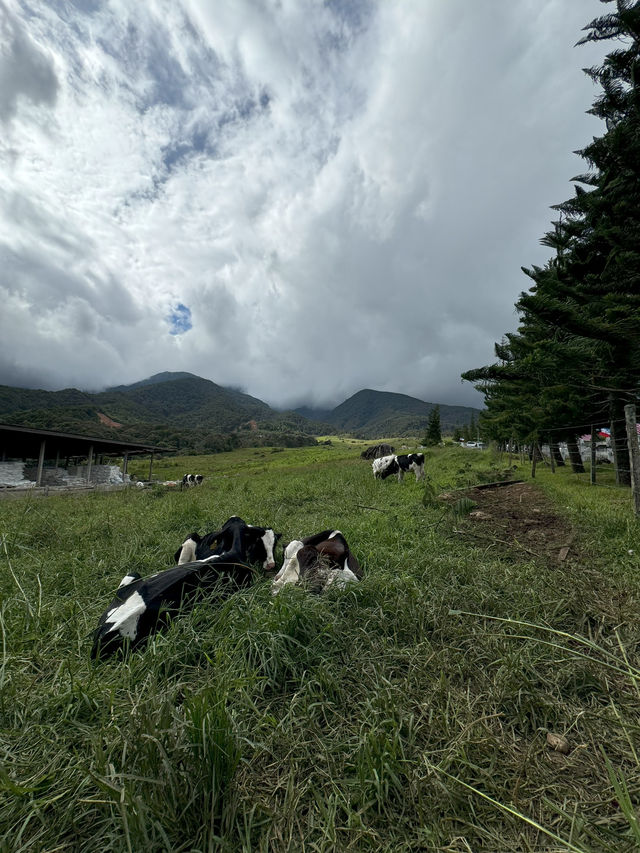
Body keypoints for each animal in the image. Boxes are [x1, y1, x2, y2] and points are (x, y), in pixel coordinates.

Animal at [92, 512, 280, 660]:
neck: (232, 552)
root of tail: (103, 633)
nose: (271, 565)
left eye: (273, 545)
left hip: (132, 575)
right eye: (257, 544)